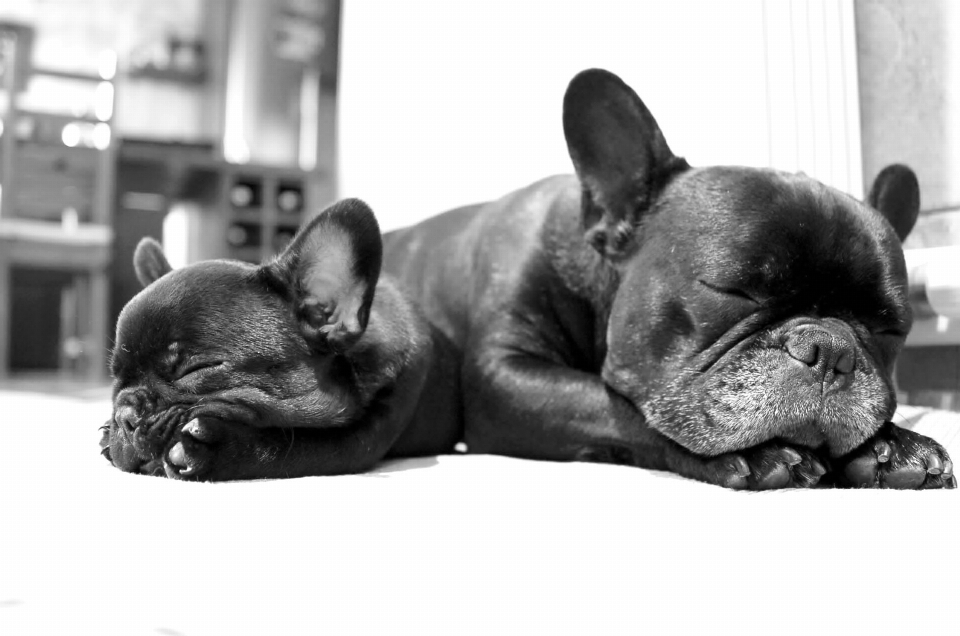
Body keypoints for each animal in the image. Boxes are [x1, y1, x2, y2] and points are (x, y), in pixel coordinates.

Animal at [101, 201, 462, 480]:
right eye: (115, 379)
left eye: (196, 369)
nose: (124, 416)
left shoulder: (363, 435)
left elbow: (292, 448)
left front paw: (211, 448)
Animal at [386, 67, 956, 490]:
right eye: (732, 290)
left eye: (889, 328)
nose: (831, 349)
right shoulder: (504, 378)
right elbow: (608, 404)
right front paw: (764, 452)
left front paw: (892, 444)